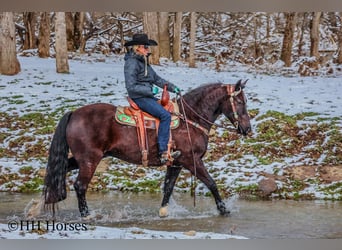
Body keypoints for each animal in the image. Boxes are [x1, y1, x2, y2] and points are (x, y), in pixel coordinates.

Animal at [42, 79, 251, 218]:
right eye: (240, 102)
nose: (247, 129)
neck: (190, 118)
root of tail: (74, 113)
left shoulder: (176, 163)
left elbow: (168, 188)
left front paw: (163, 212)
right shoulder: (192, 161)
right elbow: (211, 183)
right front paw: (223, 209)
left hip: (80, 159)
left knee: (59, 172)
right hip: (89, 160)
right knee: (80, 186)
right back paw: (86, 214)